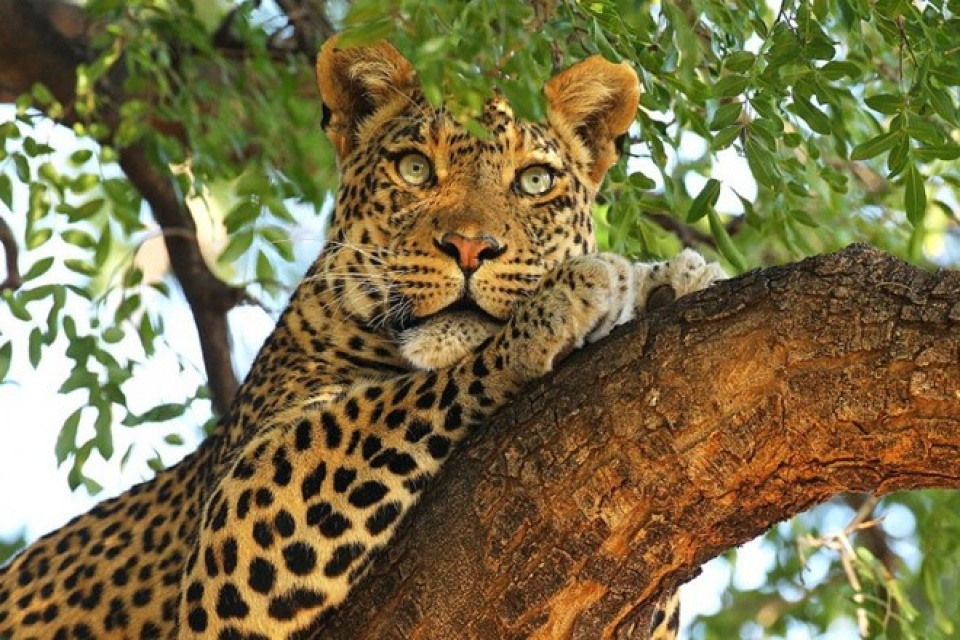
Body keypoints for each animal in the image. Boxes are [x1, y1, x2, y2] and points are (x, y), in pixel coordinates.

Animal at [0, 37, 725, 639]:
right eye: (414, 169)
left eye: (535, 181)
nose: (470, 248)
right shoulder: (237, 521)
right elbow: (385, 402)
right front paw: (569, 300)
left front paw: (670, 282)